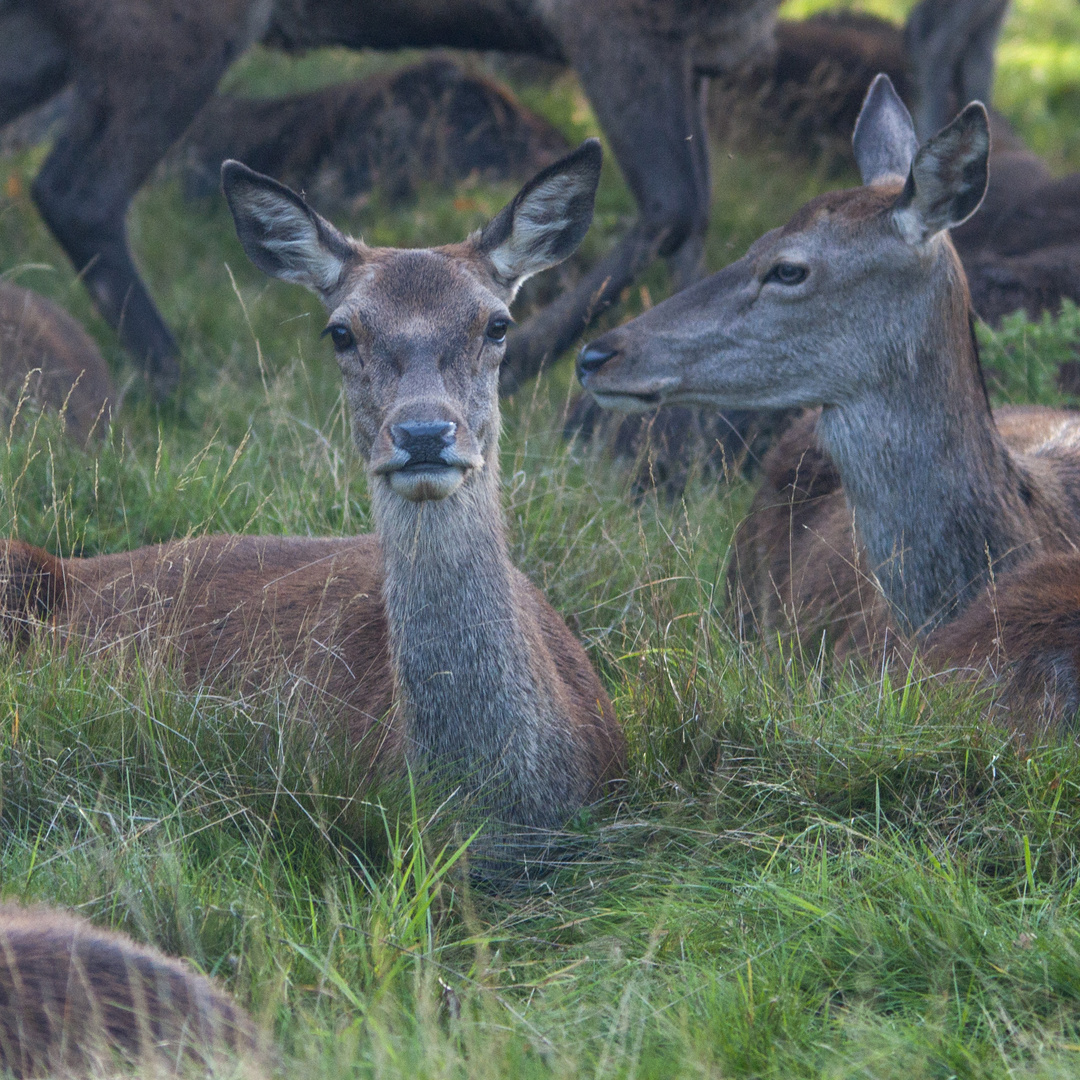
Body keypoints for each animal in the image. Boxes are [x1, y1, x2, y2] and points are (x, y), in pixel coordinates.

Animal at [0, 0, 777, 399]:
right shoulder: (617, 20)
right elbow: (675, 207)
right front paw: (529, 362)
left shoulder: (699, 48)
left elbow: (704, 223)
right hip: (167, 28)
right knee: (76, 189)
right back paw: (175, 381)